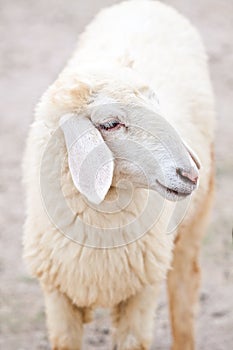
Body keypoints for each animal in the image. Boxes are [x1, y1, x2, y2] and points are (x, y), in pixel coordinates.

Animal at [22, 1, 216, 348]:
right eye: (111, 124)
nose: (191, 173)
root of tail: (145, 4)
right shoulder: (57, 296)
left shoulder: (141, 293)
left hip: (192, 224)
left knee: (184, 288)